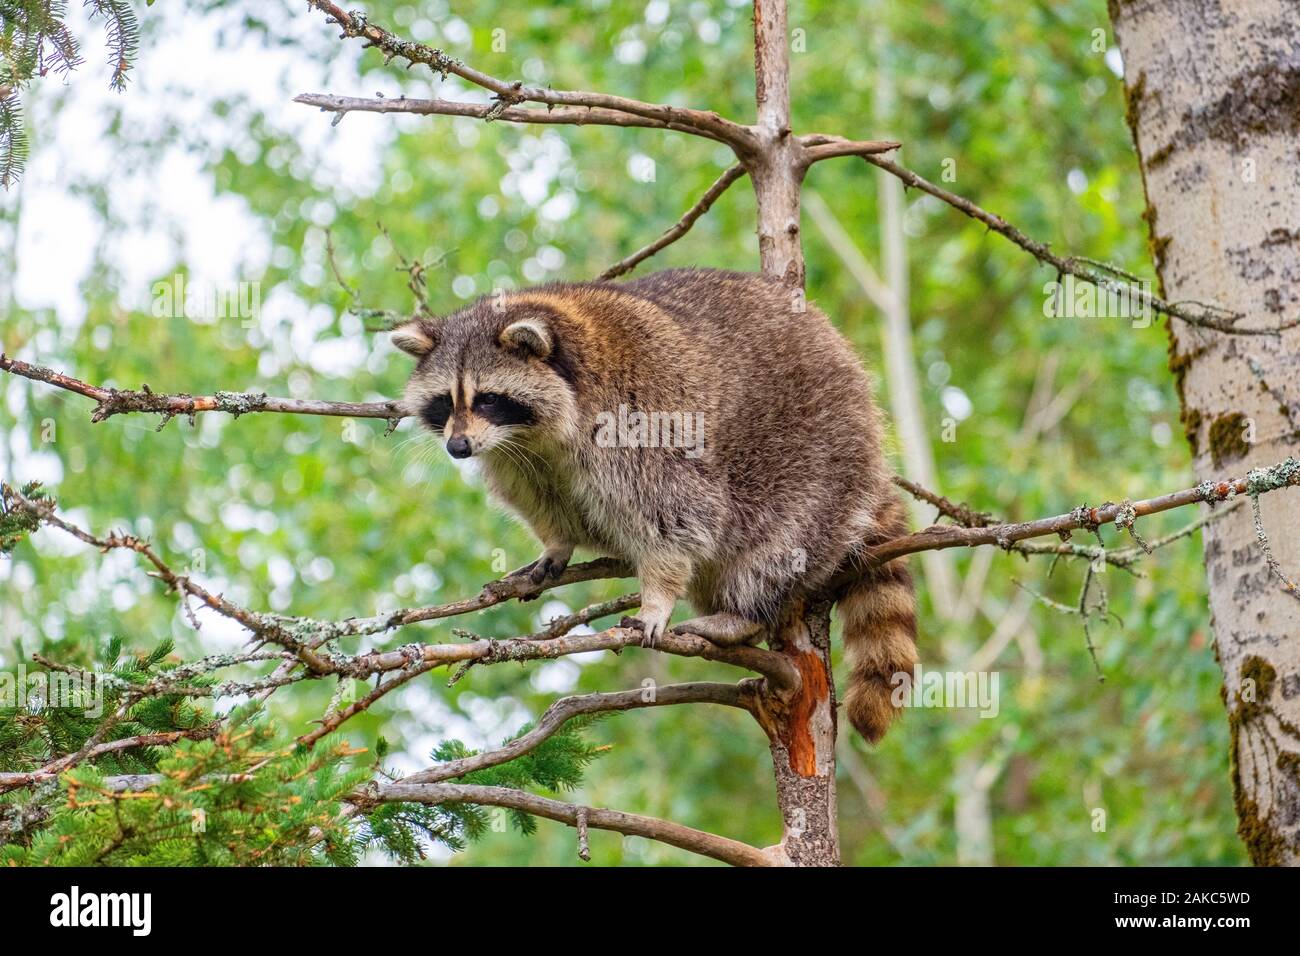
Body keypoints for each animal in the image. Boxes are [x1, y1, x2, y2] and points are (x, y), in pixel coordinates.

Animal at [390, 269, 920, 749]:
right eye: (445, 402)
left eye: (487, 398)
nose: (457, 447)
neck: (534, 433)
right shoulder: (518, 457)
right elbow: (543, 499)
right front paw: (557, 542)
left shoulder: (638, 421)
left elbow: (674, 518)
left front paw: (657, 597)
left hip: (816, 456)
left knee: (778, 543)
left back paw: (743, 612)